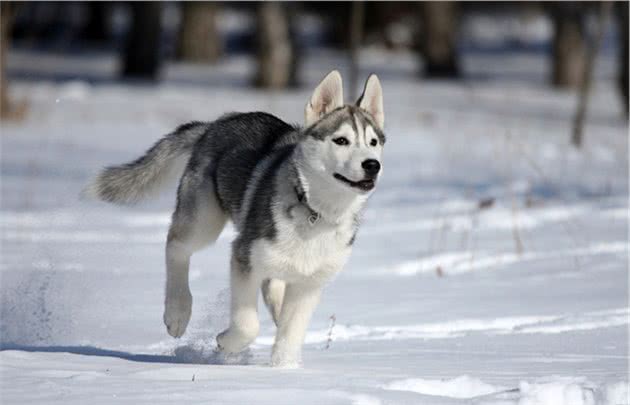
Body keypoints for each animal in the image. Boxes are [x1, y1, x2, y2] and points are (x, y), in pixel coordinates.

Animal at [87, 70, 386, 366]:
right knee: (176, 245)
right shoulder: (244, 257)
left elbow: (290, 335)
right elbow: (248, 325)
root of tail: (217, 123)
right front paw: (225, 343)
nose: (373, 165)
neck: (315, 210)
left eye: (373, 142)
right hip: (204, 219)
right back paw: (177, 312)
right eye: (341, 140)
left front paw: (285, 369)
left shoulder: (309, 283)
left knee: (273, 288)